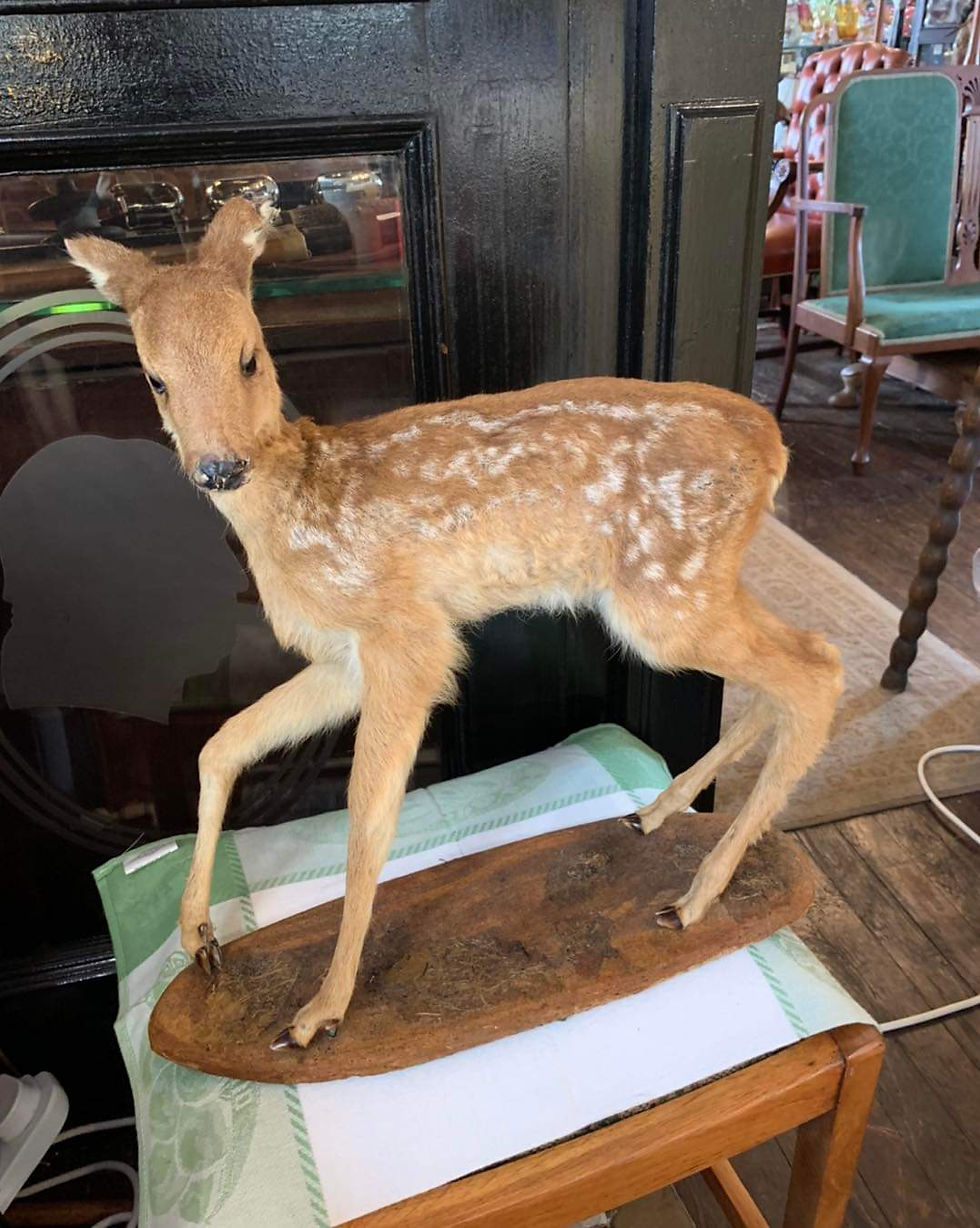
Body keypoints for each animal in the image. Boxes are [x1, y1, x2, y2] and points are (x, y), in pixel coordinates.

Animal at [66, 199, 842, 1050]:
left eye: (250, 357)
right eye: (155, 378)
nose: (219, 467)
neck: (299, 510)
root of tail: (773, 443)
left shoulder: (407, 633)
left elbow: (365, 826)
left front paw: (319, 1011)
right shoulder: (343, 658)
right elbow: (222, 743)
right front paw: (198, 937)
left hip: (663, 599)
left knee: (816, 668)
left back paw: (692, 898)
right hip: (688, 590)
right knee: (796, 662)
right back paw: (655, 815)